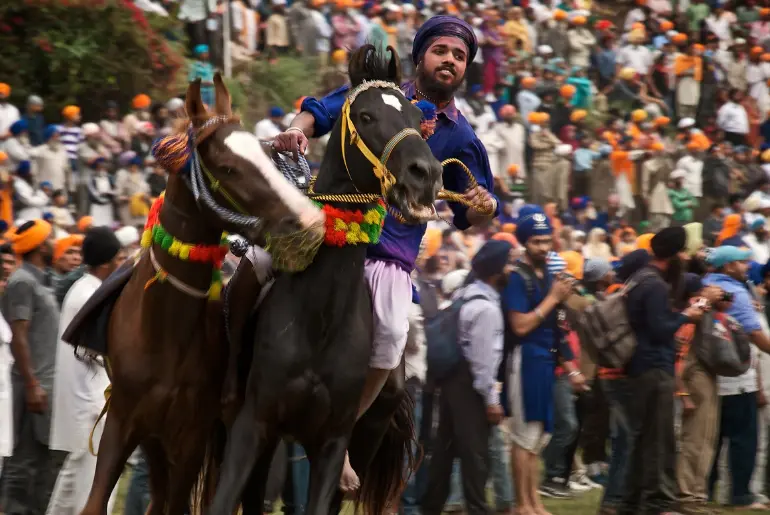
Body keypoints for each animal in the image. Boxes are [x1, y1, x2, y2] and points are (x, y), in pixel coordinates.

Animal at [74, 76, 320, 515]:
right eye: (228, 167)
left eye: (266, 155)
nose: (307, 221)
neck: (162, 332)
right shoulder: (125, 420)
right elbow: (98, 499)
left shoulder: (190, 434)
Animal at [207, 45, 440, 515]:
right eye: (366, 116)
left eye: (415, 115)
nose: (424, 173)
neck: (321, 319)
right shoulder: (255, 423)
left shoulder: (331, 444)